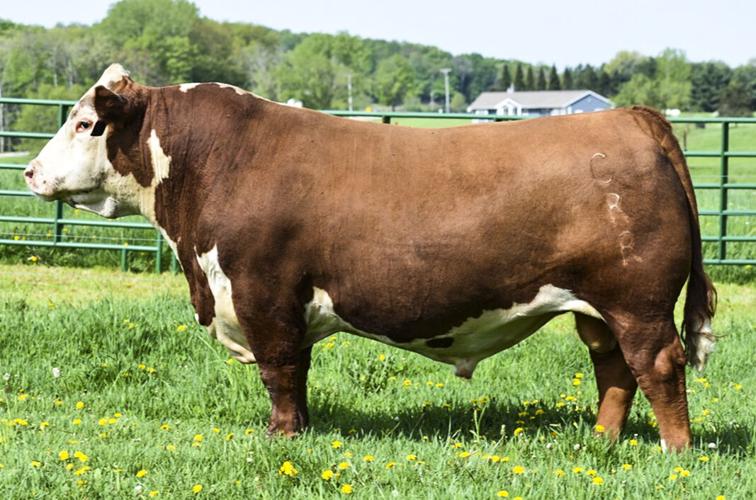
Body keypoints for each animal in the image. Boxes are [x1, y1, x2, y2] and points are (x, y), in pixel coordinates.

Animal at [25, 65, 716, 451]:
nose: (29, 171)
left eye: (85, 123)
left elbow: (280, 372)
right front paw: (299, 431)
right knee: (613, 369)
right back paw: (601, 441)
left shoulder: (262, 293)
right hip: (596, 306)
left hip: (638, 300)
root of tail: (630, 119)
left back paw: (675, 452)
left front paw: (281, 437)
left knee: (658, 364)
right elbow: (297, 375)